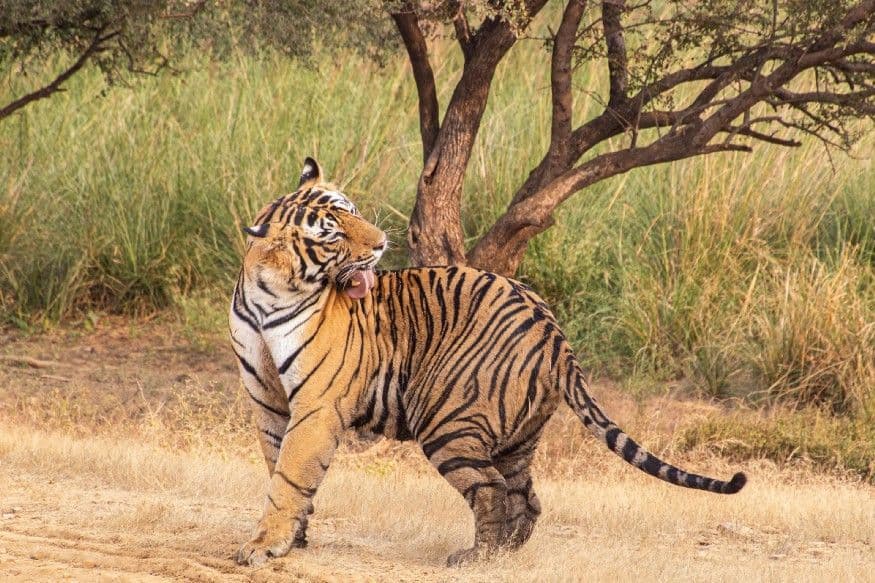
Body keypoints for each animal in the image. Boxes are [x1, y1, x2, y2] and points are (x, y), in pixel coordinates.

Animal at [229, 158, 747, 567]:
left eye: (351, 211)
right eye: (332, 233)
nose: (379, 245)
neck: (268, 290)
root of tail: (554, 330)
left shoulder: (317, 405)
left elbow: (289, 476)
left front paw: (263, 546)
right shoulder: (269, 402)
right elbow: (278, 467)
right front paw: (292, 540)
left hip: (446, 418)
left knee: (491, 489)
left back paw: (476, 557)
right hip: (515, 432)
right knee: (524, 496)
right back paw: (504, 554)